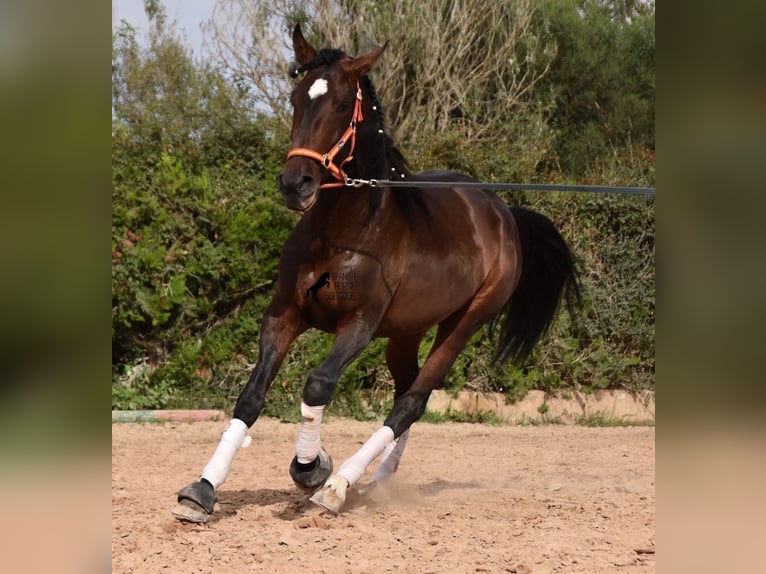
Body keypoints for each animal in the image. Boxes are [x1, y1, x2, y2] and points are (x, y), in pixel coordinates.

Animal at [174, 23, 580, 520]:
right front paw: (202, 490)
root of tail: (502, 212)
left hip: (464, 323)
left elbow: (317, 385)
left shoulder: (360, 324)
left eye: (341, 104)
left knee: (412, 401)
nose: (295, 185)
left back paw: (342, 486)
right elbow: (251, 395)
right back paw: (376, 479)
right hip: (407, 332)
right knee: (405, 394)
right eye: (296, 98)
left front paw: (313, 468)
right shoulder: (284, 314)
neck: (343, 234)